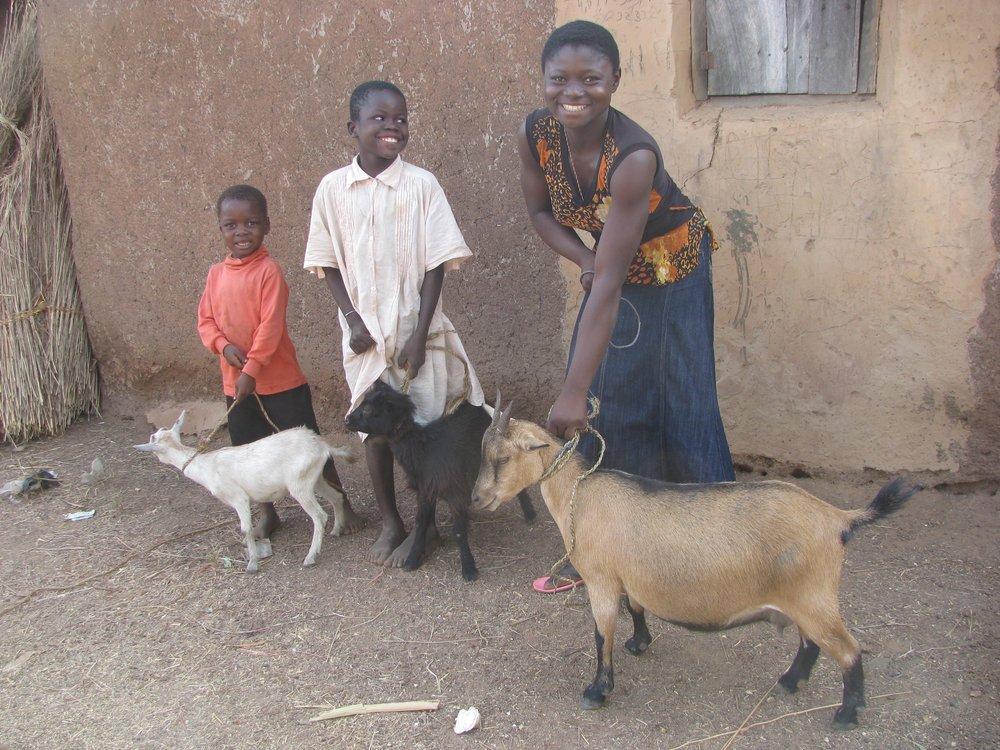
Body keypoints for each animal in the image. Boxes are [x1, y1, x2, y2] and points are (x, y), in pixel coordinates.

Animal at [137, 414, 356, 572]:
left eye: (153, 438)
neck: (206, 467)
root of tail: (322, 445)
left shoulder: (238, 498)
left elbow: (245, 529)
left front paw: (252, 564)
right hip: (314, 479)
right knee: (336, 497)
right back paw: (337, 530)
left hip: (299, 485)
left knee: (319, 515)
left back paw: (310, 556)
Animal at [346, 382, 536, 580]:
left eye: (368, 409)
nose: (347, 420)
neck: (423, 449)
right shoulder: (425, 490)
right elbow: (421, 523)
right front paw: (412, 560)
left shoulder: (454, 490)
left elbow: (458, 532)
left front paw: (469, 569)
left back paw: (530, 513)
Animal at [472, 402, 924, 732]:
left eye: (502, 457)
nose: (477, 499)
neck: (579, 494)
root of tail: (837, 518)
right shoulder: (628, 578)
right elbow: (636, 608)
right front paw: (639, 643)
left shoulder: (600, 579)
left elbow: (602, 635)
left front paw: (597, 691)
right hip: (802, 598)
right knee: (811, 642)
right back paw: (789, 682)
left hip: (814, 595)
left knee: (847, 650)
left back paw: (846, 714)